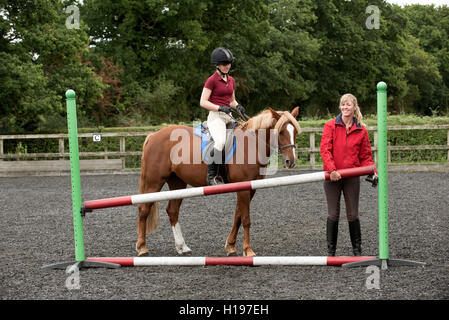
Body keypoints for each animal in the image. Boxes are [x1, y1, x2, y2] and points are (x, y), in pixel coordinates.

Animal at [135, 107, 300, 258]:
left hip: (177, 183)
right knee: (144, 209)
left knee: (172, 211)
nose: (290, 161)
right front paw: (248, 250)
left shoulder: (250, 188)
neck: (251, 145)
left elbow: (238, 216)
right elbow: (246, 219)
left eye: (294, 133)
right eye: (280, 132)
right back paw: (142, 247)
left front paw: (230, 246)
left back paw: (182, 247)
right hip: (154, 181)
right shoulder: (243, 188)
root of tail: (153, 135)